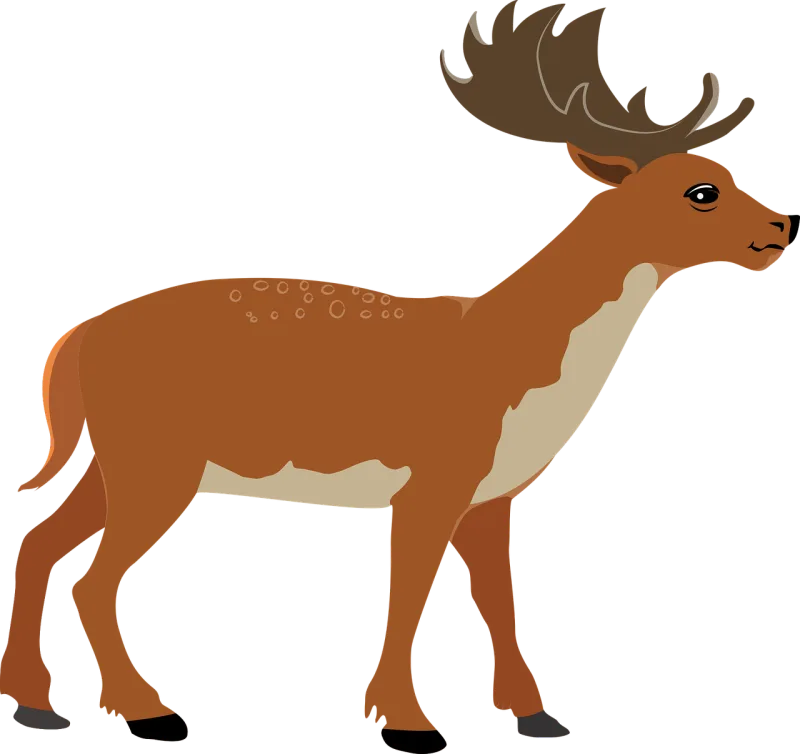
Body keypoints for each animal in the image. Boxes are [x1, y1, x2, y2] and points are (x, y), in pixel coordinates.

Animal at [2, 1, 793, 751]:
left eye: (726, 175)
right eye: (700, 191)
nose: (781, 228)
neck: (515, 364)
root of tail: (72, 338)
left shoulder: (492, 494)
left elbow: (500, 598)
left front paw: (538, 718)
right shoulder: (433, 478)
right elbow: (411, 592)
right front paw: (406, 725)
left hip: (113, 459)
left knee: (36, 546)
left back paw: (35, 707)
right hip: (156, 461)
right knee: (91, 580)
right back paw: (149, 715)